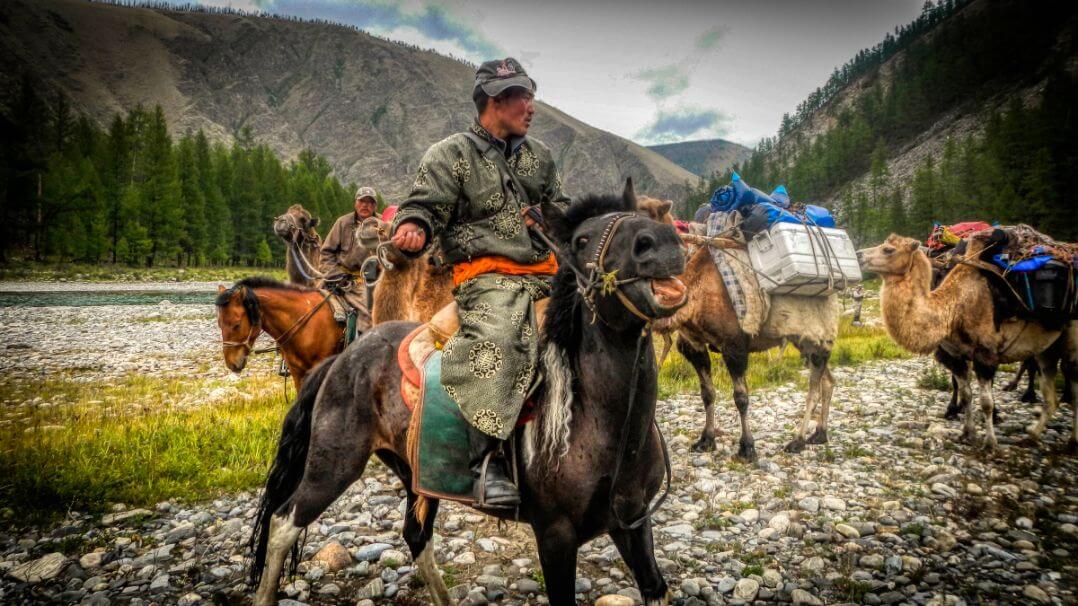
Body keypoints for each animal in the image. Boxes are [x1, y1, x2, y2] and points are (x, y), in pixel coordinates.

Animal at [245, 184, 685, 603]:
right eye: (581, 239)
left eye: (642, 216)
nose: (662, 244)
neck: (607, 426)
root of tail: (345, 357)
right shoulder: (555, 534)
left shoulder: (633, 522)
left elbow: (656, 587)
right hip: (333, 464)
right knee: (284, 522)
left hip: (415, 473)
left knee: (416, 535)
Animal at [633, 197, 836, 457]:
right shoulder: (693, 345)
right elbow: (707, 393)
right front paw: (706, 440)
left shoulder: (734, 343)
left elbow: (741, 397)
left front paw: (747, 447)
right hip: (800, 339)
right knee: (827, 380)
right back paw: (819, 434)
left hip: (816, 330)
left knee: (815, 382)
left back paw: (798, 440)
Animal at [853, 233, 1073, 450]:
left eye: (888, 249)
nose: (858, 255)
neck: (953, 308)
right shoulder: (955, 355)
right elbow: (966, 394)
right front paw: (967, 433)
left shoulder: (986, 354)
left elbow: (986, 401)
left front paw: (990, 442)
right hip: (1049, 347)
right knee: (1050, 388)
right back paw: (1033, 434)